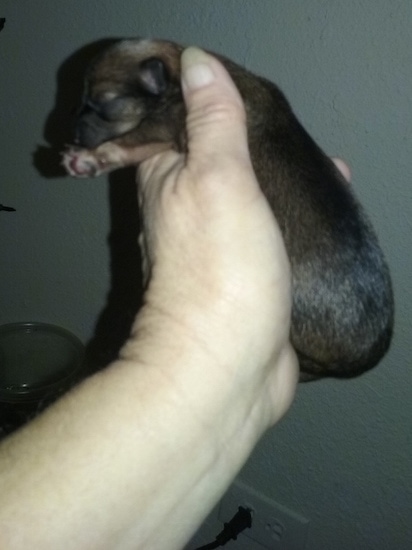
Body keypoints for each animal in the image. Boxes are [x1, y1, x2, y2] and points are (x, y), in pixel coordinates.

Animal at [62, 38, 394, 382]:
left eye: (103, 105)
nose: (71, 131)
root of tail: (362, 361)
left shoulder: (167, 123)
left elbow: (132, 140)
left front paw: (89, 158)